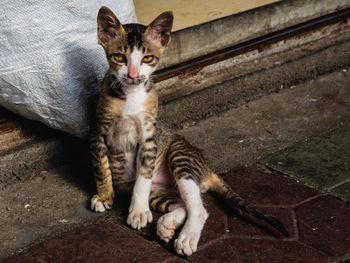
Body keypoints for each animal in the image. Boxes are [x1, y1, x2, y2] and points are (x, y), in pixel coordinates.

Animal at [89, 6, 288, 258]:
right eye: (119, 58)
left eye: (147, 58)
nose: (133, 75)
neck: (130, 96)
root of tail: (209, 168)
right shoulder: (97, 132)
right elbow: (101, 167)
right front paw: (104, 196)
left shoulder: (149, 139)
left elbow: (142, 178)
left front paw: (138, 211)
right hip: (160, 191)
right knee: (183, 204)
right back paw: (167, 225)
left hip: (180, 155)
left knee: (198, 208)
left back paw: (185, 237)